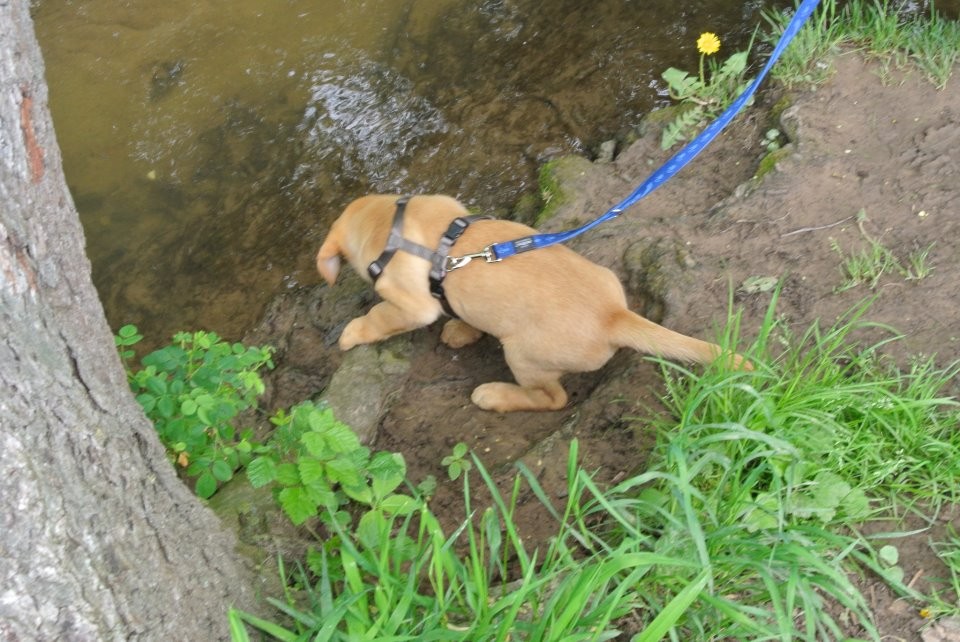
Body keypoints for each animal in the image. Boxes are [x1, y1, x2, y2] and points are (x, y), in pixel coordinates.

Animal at [316, 194, 752, 410]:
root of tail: (613, 316)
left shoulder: (410, 303)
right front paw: (461, 329)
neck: (390, 222)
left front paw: (351, 334)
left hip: (523, 356)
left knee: (553, 399)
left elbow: (379, 316)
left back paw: (496, 396)